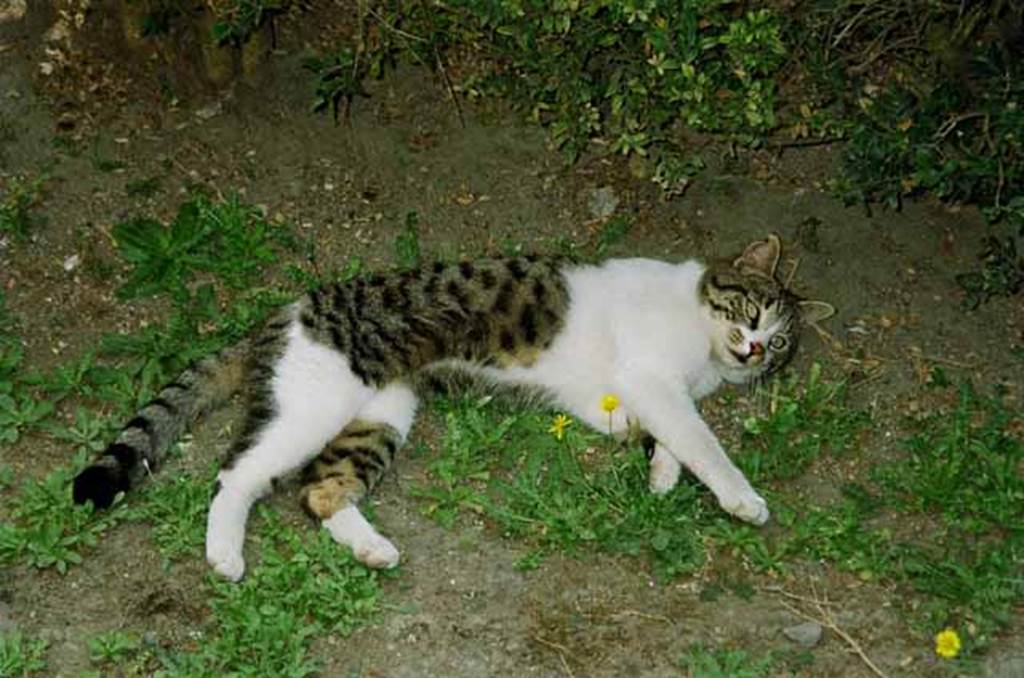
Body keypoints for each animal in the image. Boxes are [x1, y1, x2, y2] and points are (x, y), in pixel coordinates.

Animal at [75, 235, 835, 585]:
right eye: (751, 309)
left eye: (781, 342)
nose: (756, 349)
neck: (705, 351)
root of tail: (281, 312)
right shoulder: (653, 380)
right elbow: (704, 442)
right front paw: (739, 497)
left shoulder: (618, 400)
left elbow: (666, 436)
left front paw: (660, 474)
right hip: (313, 406)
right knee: (236, 473)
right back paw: (225, 553)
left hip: (379, 415)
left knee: (320, 492)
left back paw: (372, 547)